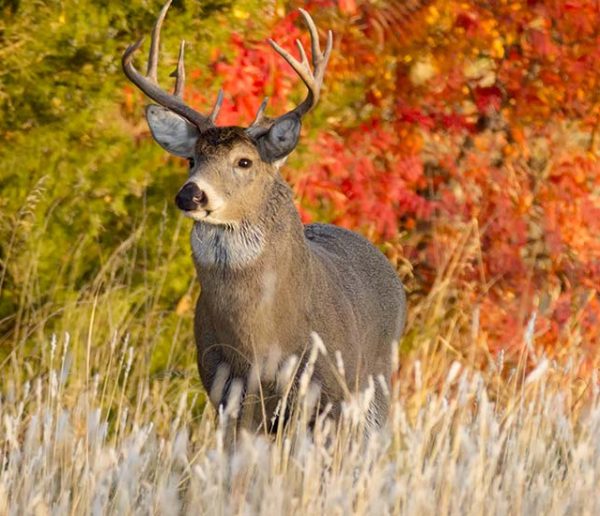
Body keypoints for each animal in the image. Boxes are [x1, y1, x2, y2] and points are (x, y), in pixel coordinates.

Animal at [122, 1, 406, 432]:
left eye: (244, 161)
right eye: (192, 159)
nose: (190, 194)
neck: (261, 341)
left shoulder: (327, 393)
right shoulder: (226, 391)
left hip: (376, 384)